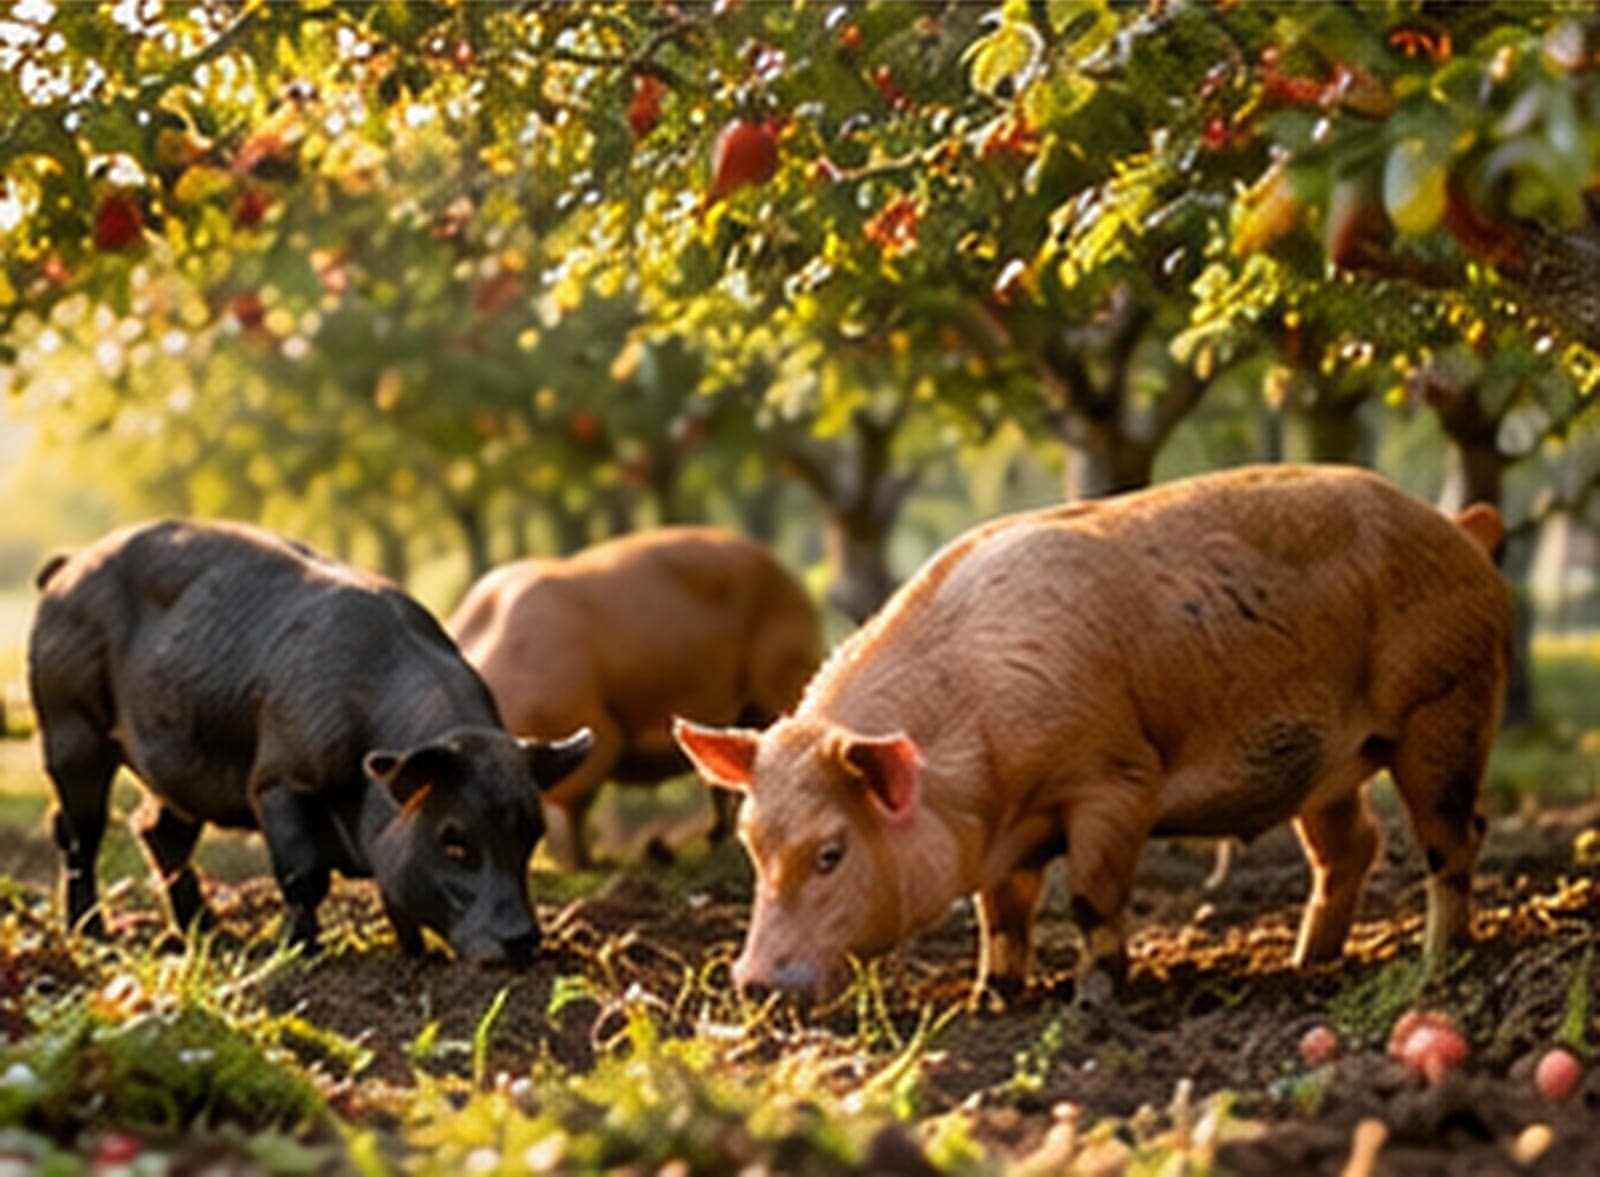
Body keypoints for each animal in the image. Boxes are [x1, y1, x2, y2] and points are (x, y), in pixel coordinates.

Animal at [28, 519, 593, 964]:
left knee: (157, 831)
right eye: (452, 837)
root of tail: (67, 566)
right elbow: (305, 874)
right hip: (68, 725)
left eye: (532, 833)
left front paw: (415, 957)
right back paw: (92, 934)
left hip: (176, 767)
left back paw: (211, 936)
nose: (523, 942)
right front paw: (299, 952)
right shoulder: (278, 780)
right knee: (79, 831)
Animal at [448, 527, 822, 868]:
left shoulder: (594, 730)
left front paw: (585, 865)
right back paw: (715, 840)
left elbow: (570, 807)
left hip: (783, 674)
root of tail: (786, 574)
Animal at [675, 465, 1513, 1005]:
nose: (752, 984)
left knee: (1455, 835)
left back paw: (1438, 961)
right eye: (750, 846)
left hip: (1447, 704)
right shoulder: (1007, 841)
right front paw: (991, 997)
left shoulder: (1115, 779)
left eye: (831, 852)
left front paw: (1094, 1000)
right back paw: (1309, 964)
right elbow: (1002, 914)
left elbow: (1089, 896)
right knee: (1352, 848)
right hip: (1330, 767)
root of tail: (1462, 534)